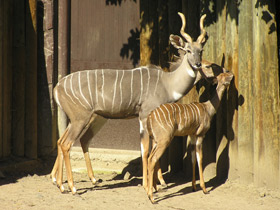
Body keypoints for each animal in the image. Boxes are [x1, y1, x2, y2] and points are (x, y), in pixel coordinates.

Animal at [50, 12, 218, 194]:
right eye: (188, 50)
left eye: (201, 50)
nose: (197, 64)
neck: (167, 83)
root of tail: (57, 88)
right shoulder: (144, 115)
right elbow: (145, 150)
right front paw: (148, 184)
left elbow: (152, 149)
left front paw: (158, 184)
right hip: (81, 118)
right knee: (66, 144)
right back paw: (71, 187)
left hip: (82, 119)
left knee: (65, 141)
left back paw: (63, 182)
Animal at [145, 71, 233, 203]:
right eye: (224, 76)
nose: (232, 74)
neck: (207, 108)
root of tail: (150, 117)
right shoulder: (200, 134)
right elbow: (200, 158)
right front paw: (204, 188)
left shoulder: (191, 135)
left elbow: (192, 159)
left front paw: (194, 187)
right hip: (164, 140)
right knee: (153, 159)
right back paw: (152, 198)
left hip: (155, 140)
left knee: (150, 157)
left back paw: (152, 192)